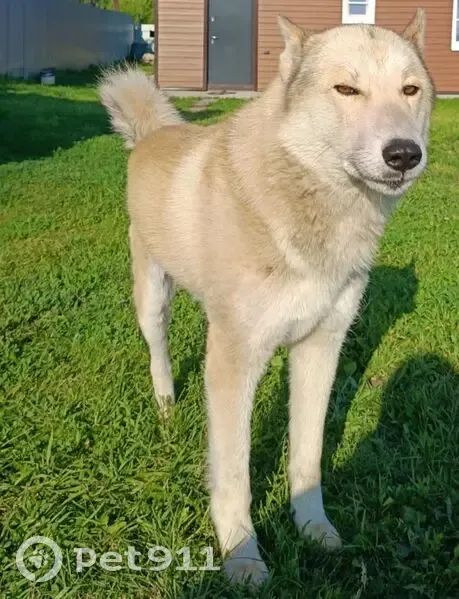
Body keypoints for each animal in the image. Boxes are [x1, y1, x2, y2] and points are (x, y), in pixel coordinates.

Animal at [99, 9, 434, 585]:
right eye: (346, 89)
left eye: (410, 90)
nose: (404, 154)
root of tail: (156, 133)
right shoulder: (234, 364)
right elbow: (234, 475)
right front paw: (242, 556)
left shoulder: (319, 349)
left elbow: (307, 456)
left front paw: (314, 529)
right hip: (152, 297)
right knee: (158, 351)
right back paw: (166, 405)